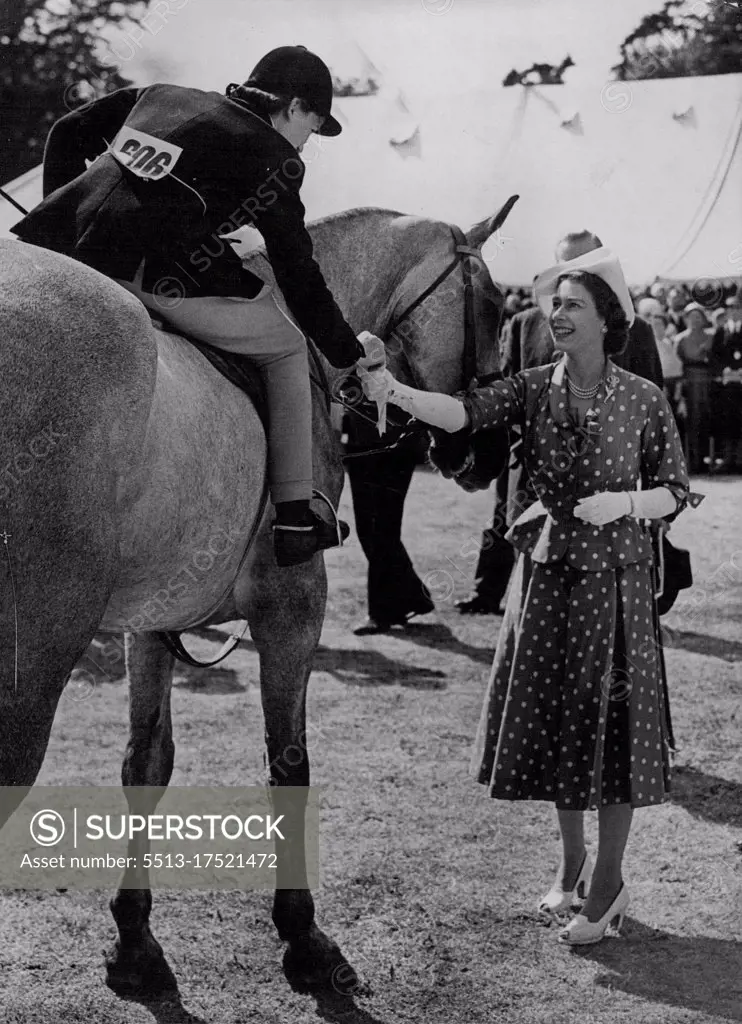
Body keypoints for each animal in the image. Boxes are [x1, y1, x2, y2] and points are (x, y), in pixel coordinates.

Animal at [0, 203, 505, 995]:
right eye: (496, 306)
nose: (481, 453)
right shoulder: (293, 609)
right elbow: (288, 764)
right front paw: (303, 938)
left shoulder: (152, 622)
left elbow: (147, 762)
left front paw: (135, 941)